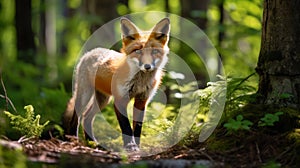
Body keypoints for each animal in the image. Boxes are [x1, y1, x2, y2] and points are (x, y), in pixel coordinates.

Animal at [62, 17, 171, 151]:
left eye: (154, 51)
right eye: (137, 51)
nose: (147, 66)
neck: (140, 81)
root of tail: (90, 52)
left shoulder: (142, 100)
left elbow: (137, 127)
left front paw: (137, 147)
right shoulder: (120, 100)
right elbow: (126, 127)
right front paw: (130, 146)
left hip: (103, 100)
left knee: (86, 118)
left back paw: (92, 143)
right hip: (85, 96)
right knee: (76, 119)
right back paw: (74, 141)